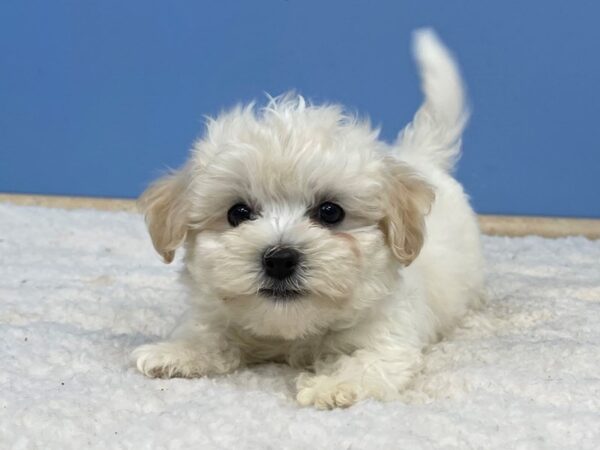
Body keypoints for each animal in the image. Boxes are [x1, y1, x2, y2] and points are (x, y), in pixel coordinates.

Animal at [131, 28, 482, 408]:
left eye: (330, 212)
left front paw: (331, 385)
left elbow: (369, 364)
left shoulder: (389, 335)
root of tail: (419, 154)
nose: (280, 259)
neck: (292, 332)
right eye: (238, 213)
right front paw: (176, 351)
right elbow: (209, 334)